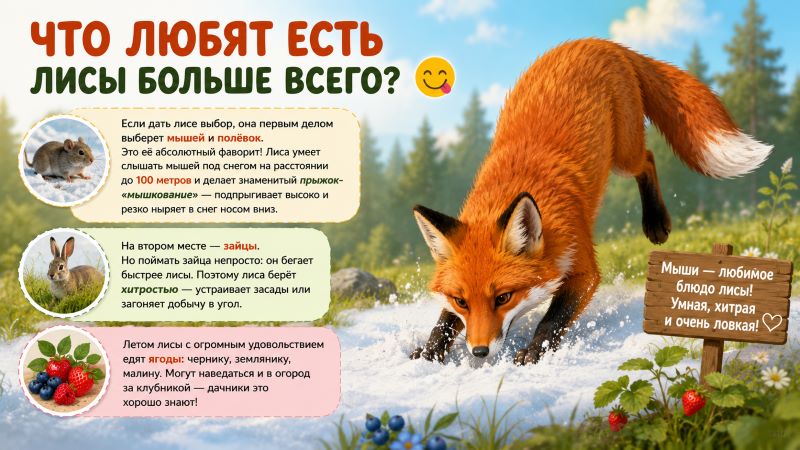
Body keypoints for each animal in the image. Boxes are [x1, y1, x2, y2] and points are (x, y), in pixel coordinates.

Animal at [410, 38, 771, 365]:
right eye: (462, 301)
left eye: (503, 297)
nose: (479, 352)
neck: (514, 186)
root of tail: (597, 42)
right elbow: (443, 323)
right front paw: (429, 351)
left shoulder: (584, 268)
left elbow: (553, 319)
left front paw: (534, 351)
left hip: (624, 155)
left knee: (648, 159)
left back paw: (655, 222)